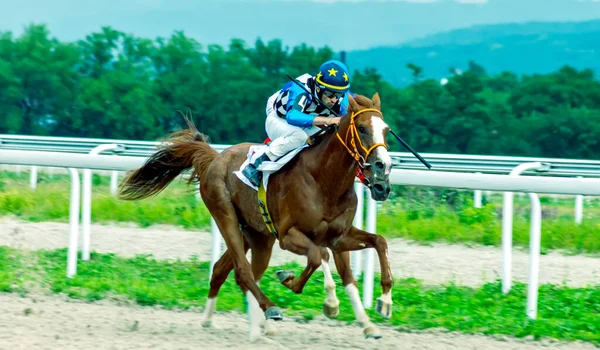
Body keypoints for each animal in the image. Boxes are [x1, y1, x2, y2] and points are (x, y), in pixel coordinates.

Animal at [119, 92, 396, 340]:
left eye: (386, 130)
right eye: (362, 128)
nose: (383, 169)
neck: (324, 181)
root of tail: (216, 157)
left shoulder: (339, 236)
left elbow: (373, 248)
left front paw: (378, 311)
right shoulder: (288, 236)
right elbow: (319, 256)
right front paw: (325, 300)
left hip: (257, 235)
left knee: (229, 270)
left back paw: (231, 322)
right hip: (226, 216)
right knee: (243, 271)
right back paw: (268, 312)